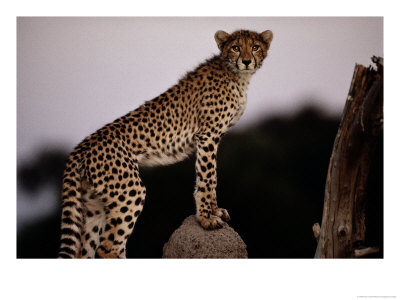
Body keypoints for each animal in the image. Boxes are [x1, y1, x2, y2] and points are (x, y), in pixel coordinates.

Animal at [58, 28, 272, 258]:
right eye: (236, 47)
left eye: (255, 47)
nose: (247, 61)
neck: (236, 75)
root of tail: (81, 146)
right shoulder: (208, 135)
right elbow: (208, 177)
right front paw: (206, 218)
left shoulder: (213, 136)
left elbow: (210, 176)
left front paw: (215, 211)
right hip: (129, 192)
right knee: (108, 247)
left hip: (95, 204)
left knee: (87, 250)